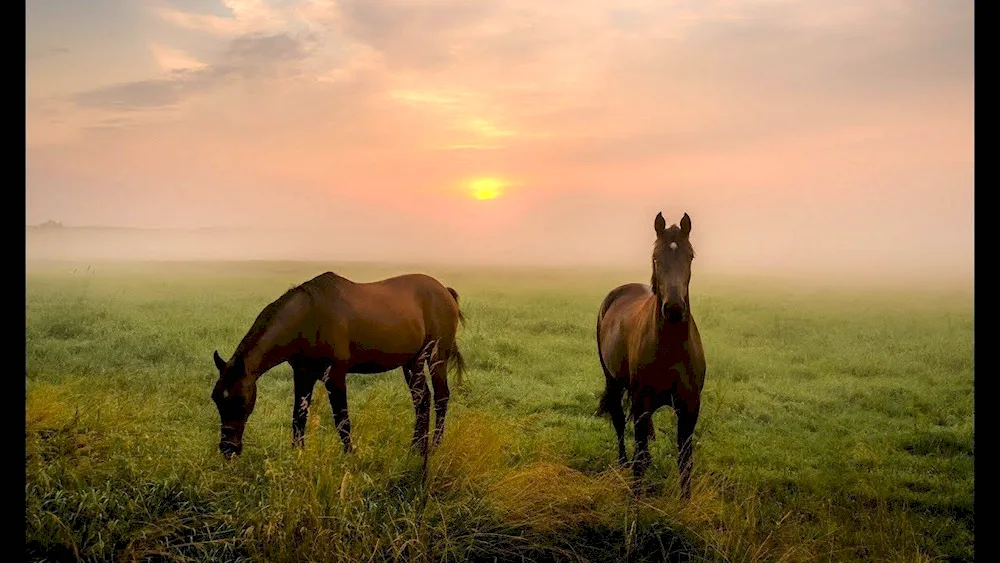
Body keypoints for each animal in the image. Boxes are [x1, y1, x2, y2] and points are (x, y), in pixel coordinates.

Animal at [210, 274, 464, 462]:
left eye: (239, 399)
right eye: (216, 398)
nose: (228, 448)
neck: (308, 318)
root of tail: (445, 290)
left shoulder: (335, 376)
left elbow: (342, 419)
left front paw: (350, 456)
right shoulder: (303, 375)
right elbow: (298, 417)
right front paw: (297, 455)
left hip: (435, 358)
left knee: (440, 397)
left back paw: (434, 446)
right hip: (412, 363)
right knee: (422, 399)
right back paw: (416, 448)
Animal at [596, 212, 708, 498]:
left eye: (690, 256)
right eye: (657, 257)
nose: (674, 308)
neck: (670, 347)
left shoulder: (690, 406)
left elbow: (685, 460)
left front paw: (685, 502)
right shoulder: (641, 404)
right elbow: (639, 457)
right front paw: (635, 502)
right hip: (614, 382)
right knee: (619, 422)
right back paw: (622, 464)